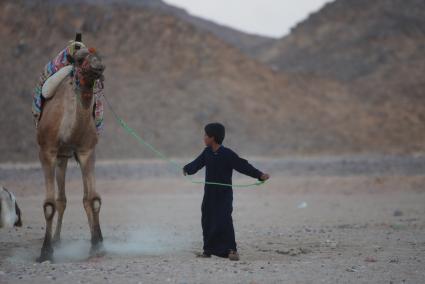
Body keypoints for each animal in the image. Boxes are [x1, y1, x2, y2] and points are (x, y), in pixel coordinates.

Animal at [36, 47, 105, 262]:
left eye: (100, 56)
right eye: (81, 59)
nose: (99, 67)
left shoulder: (86, 151)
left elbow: (93, 199)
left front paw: (97, 245)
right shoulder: (47, 152)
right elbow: (49, 204)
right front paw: (45, 252)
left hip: (66, 156)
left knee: (75, 198)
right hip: (59, 157)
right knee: (60, 199)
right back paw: (56, 241)